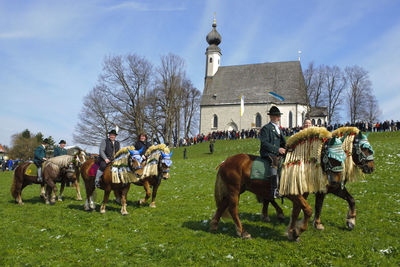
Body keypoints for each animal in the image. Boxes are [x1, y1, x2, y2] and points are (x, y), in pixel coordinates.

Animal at [211, 137, 346, 242]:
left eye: (343, 157)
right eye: (332, 157)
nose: (336, 181)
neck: (299, 167)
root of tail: (226, 161)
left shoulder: (299, 196)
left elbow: (295, 213)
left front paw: (292, 233)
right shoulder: (294, 195)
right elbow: (307, 210)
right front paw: (298, 231)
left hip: (237, 190)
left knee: (223, 205)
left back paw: (214, 225)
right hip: (234, 190)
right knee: (233, 209)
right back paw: (243, 232)